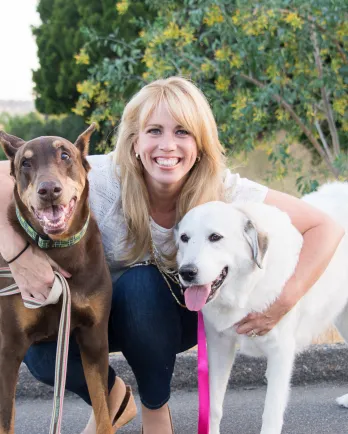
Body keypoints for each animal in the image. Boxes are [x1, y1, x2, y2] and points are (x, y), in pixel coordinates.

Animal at [175, 182, 348, 434]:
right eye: (184, 238)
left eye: (215, 237)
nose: (186, 272)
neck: (246, 290)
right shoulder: (218, 346)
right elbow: (213, 407)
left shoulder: (280, 353)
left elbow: (271, 413)